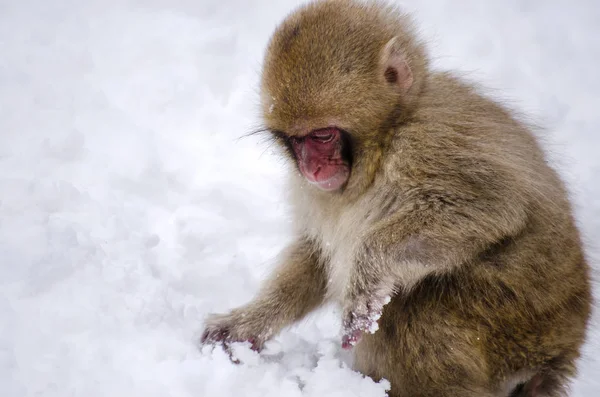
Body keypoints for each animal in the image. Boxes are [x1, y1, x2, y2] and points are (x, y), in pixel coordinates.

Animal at [200, 0, 592, 396]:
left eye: (323, 136)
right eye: (296, 140)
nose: (312, 168)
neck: (387, 135)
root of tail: (561, 353)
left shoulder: (426, 144)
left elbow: (492, 207)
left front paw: (365, 276)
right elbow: (315, 258)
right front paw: (248, 323)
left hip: (516, 324)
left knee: (416, 314)